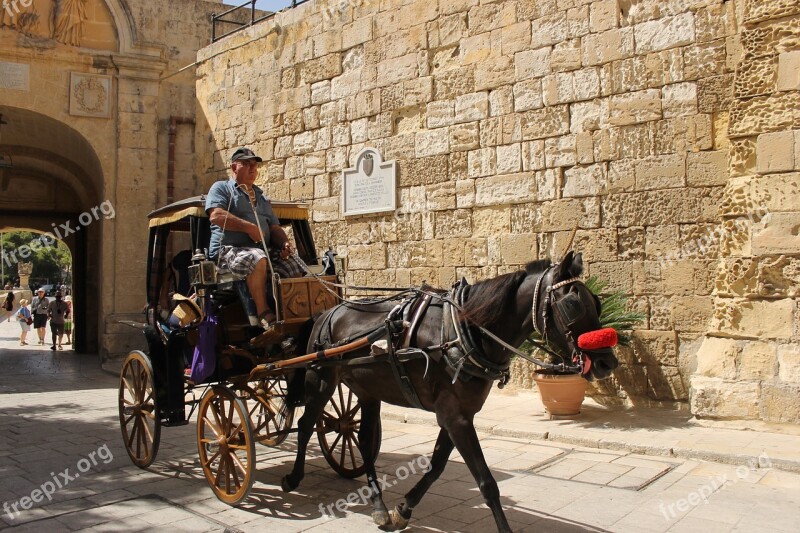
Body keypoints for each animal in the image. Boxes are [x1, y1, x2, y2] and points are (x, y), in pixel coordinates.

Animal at [282, 251, 620, 528]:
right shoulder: (455, 417)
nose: (607, 362)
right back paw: (294, 477)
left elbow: (437, 465)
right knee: (306, 424)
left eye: (596, 302)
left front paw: (403, 509)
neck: (464, 332)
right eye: (573, 304)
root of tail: (328, 312)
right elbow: (486, 482)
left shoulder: (457, 414)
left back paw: (378, 506)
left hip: (367, 390)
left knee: (363, 440)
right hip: (321, 381)